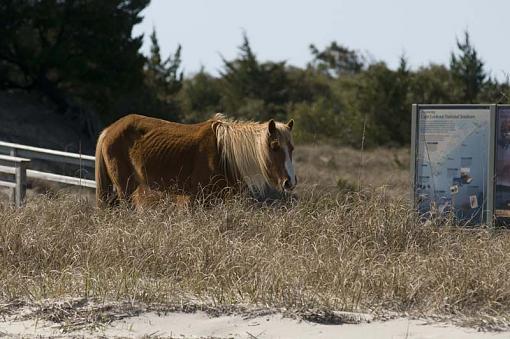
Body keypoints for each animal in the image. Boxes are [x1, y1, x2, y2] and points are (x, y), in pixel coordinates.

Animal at [94, 113, 296, 207]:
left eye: (292, 148)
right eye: (275, 147)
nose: (290, 182)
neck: (223, 154)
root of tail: (108, 130)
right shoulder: (198, 198)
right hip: (124, 188)